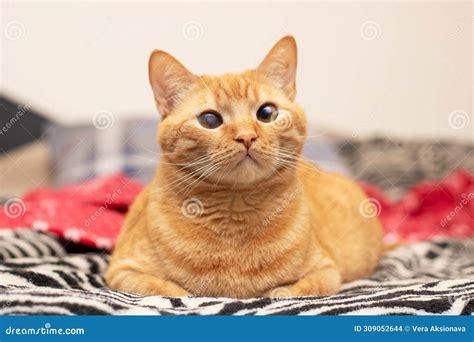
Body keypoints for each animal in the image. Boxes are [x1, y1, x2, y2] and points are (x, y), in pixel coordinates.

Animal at [105, 36, 384, 298]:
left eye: (267, 113)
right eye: (210, 120)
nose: (247, 136)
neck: (234, 215)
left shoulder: (326, 271)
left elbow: (293, 291)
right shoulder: (122, 272)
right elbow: (168, 290)